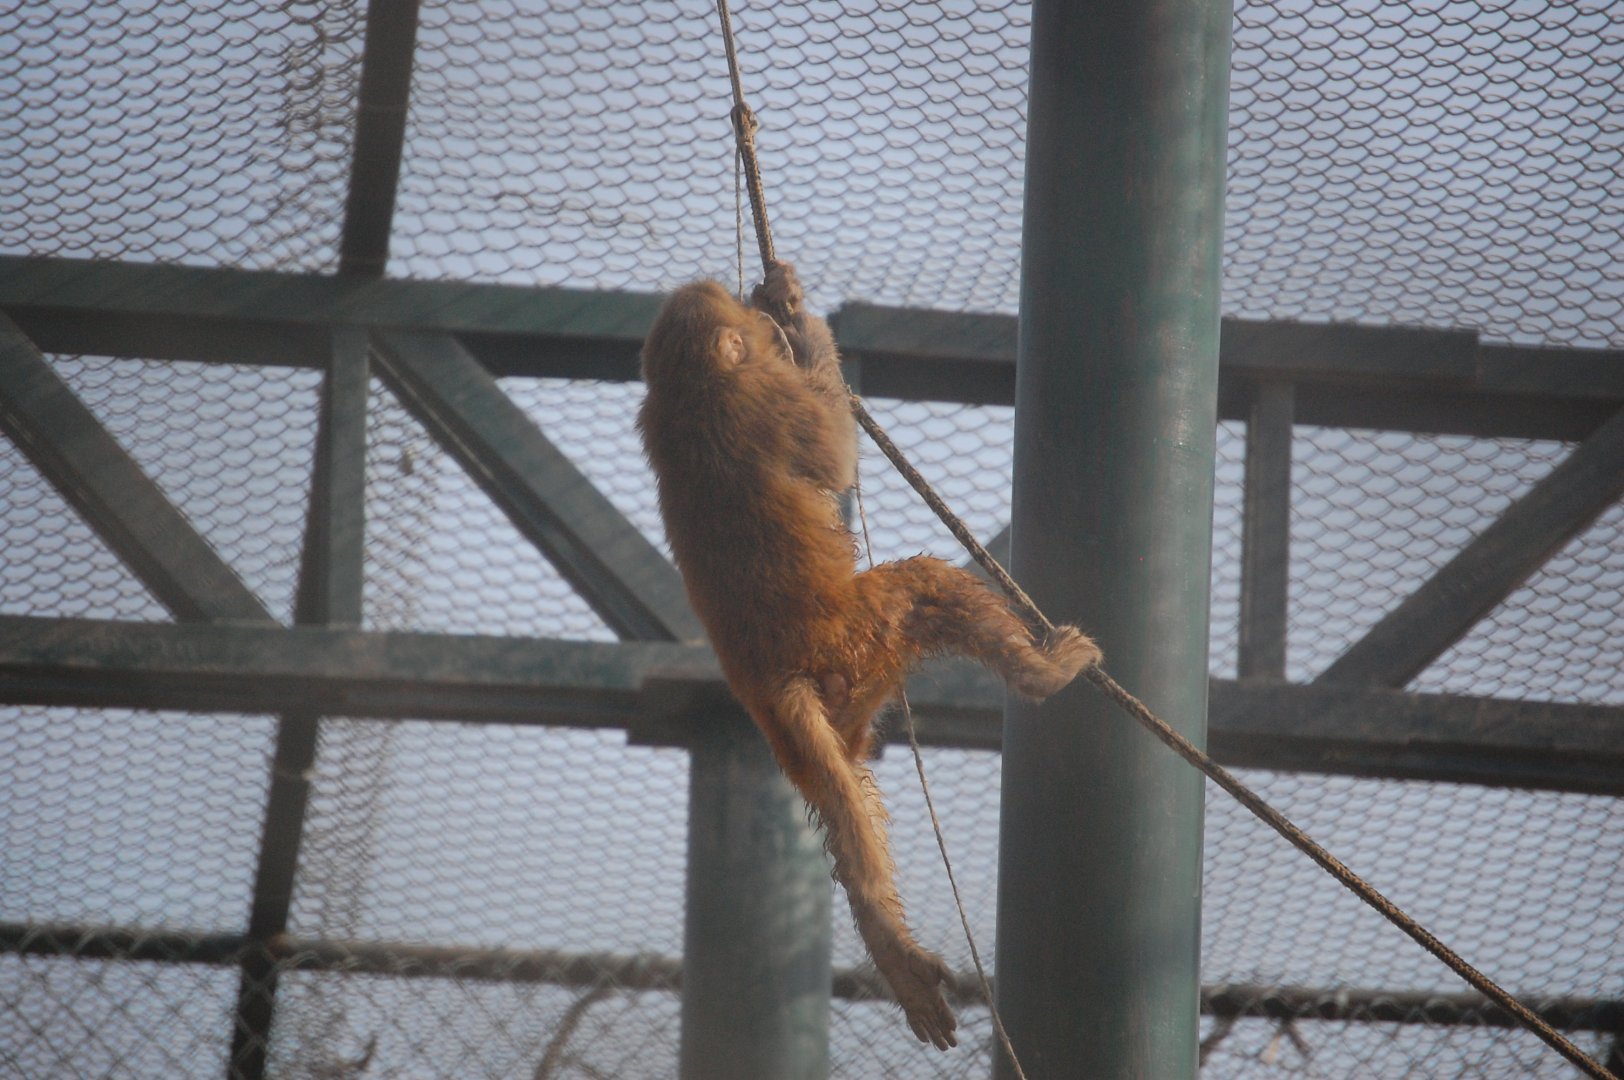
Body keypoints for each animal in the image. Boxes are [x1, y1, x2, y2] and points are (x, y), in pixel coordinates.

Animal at [637, 260, 1099, 1050]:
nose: (764, 323)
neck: (687, 390)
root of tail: (772, 679)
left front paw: (782, 305)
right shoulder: (769, 403)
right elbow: (832, 454)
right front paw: (795, 314)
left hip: (834, 703)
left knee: (843, 796)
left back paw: (883, 933)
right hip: (861, 636)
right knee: (921, 587)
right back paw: (1043, 672)